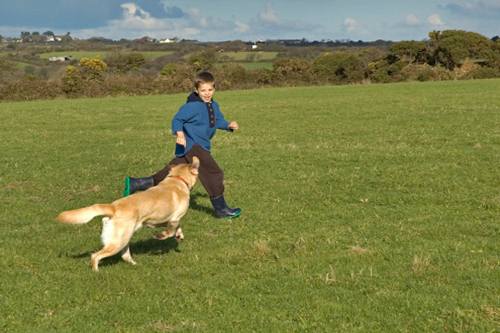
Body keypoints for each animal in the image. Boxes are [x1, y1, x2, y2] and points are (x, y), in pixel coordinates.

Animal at [57, 156, 199, 270]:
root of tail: (113, 207)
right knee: (95, 256)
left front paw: (179, 235)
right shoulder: (174, 218)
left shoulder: (164, 221)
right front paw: (162, 236)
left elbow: (177, 228)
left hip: (124, 238)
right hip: (118, 241)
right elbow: (170, 231)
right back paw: (96, 272)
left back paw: (136, 265)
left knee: (124, 256)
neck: (177, 179)